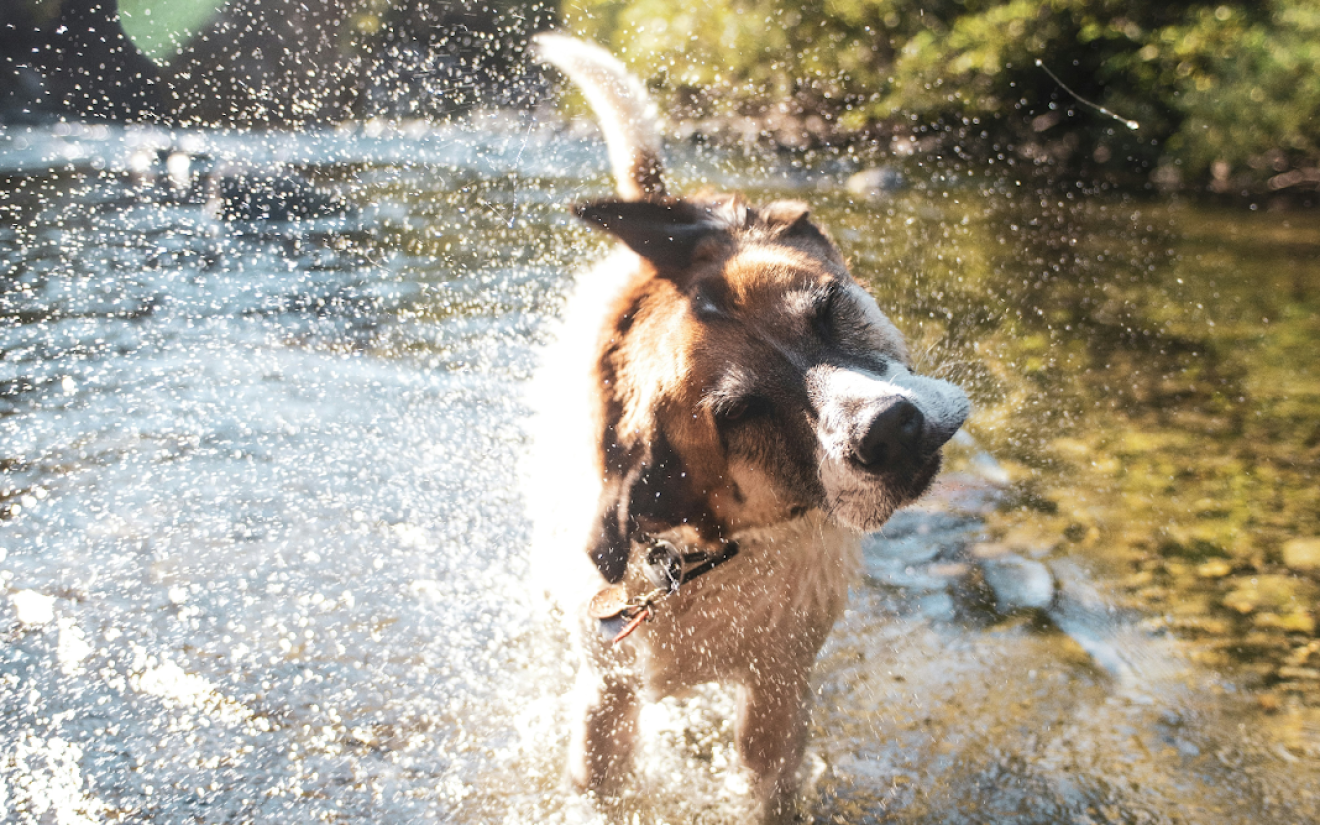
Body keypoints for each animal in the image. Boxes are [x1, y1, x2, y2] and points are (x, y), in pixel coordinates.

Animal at [522, 33, 971, 823]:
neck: (697, 555)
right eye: (741, 414)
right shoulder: (606, 698)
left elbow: (772, 778)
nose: (890, 428)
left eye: (829, 307)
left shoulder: (778, 689)